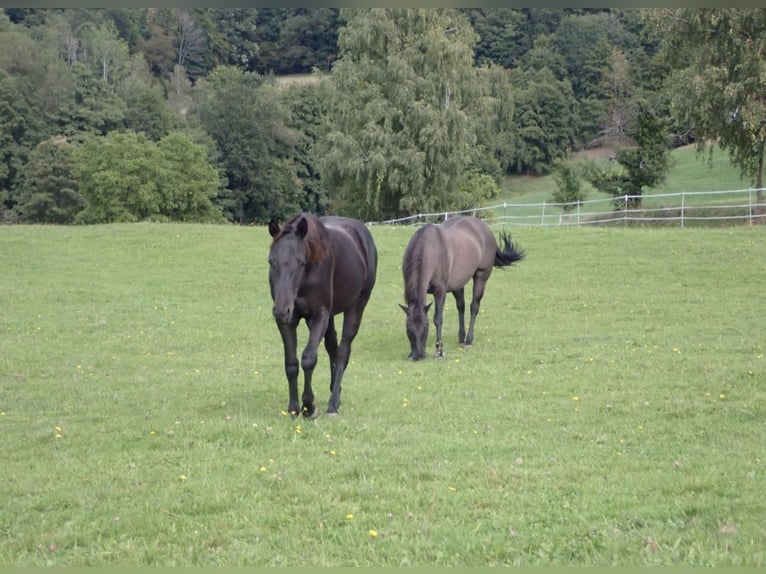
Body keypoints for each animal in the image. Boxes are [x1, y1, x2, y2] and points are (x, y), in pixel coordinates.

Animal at [268, 214, 380, 416]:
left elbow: (308, 358)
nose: (281, 310)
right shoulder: (288, 321)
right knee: (332, 347)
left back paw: (333, 403)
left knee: (343, 351)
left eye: (301, 262)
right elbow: (291, 363)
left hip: (356, 306)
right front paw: (294, 408)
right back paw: (336, 390)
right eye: (271, 262)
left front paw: (308, 406)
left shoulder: (319, 315)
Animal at [400, 218, 524, 362]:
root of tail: (484, 227)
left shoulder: (440, 291)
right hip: (458, 284)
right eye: (408, 329)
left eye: (426, 327)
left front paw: (440, 351)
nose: (418, 355)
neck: (431, 249)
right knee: (461, 307)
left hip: (481, 276)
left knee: (474, 307)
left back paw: (468, 340)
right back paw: (461, 337)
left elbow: (438, 319)